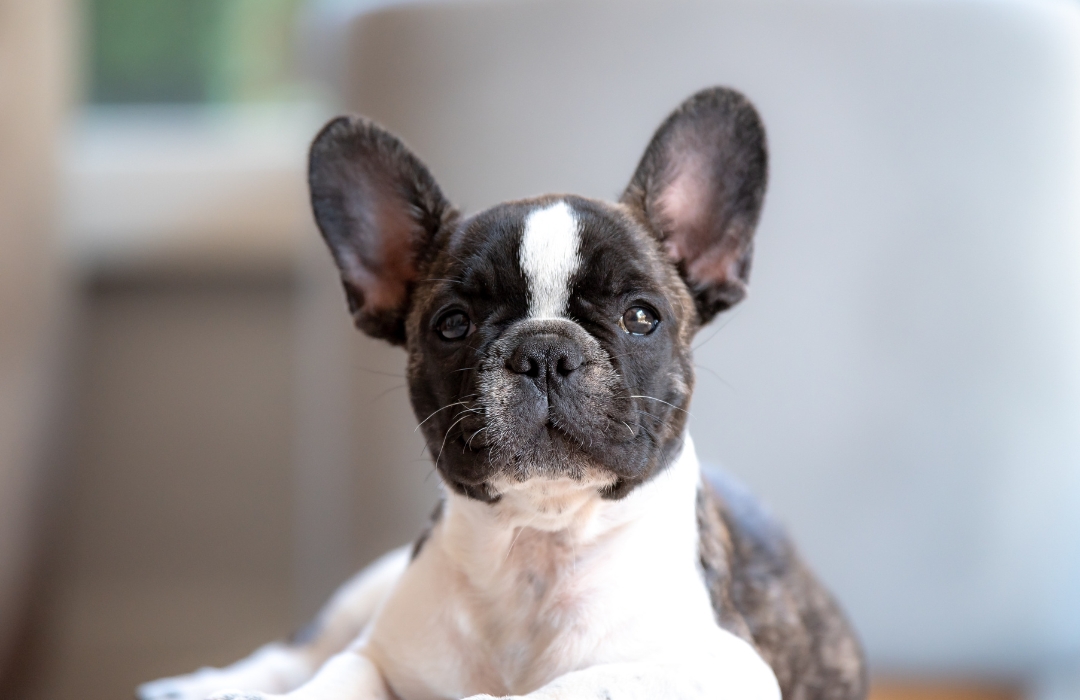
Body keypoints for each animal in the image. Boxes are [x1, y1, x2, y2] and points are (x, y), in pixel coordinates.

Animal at [139, 85, 868, 700]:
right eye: (452, 324)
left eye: (641, 317)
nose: (543, 351)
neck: (536, 548)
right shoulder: (381, 652)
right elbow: (337, 675)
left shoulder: (714, 667)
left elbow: (564, 689)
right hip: (365, 587)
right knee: (297, 653)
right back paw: (205, 686)